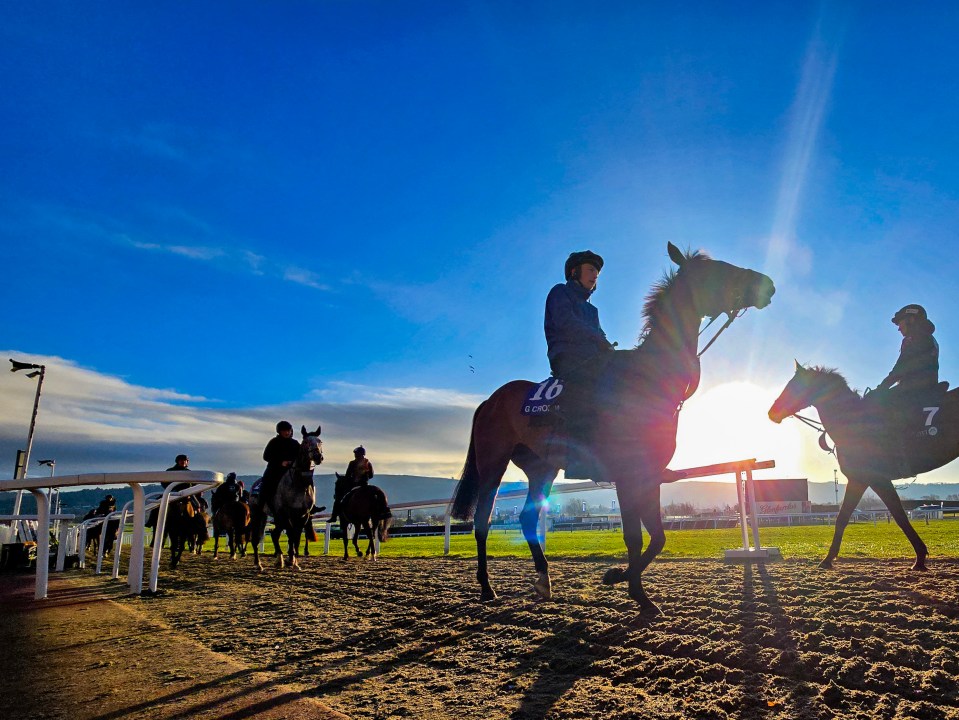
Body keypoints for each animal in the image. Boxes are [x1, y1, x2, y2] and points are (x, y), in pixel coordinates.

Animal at [249, 424, 324, 572]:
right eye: (306, 442)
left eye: (320, 442)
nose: (318, 456)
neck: (298, 485)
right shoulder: (286, 514)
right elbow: (291, 535)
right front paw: (291, 560)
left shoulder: (303, 516)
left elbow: (296, 538)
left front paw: (294, 562)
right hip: (258, 514)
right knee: (256, 538)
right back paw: (258, 564)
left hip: (276, 518)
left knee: (274, 534)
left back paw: (279, 560)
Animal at [448, 245, 772, 612]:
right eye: (714, 270)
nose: (768, 285)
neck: (646, 378)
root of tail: (489, 401)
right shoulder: (627, 474)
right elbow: (634, 536)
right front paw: (634, 590)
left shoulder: (649, 474)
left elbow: (657, 537)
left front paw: (624, 580)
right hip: (493, 463)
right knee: (482, 520)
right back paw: (487, 587)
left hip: (542, 468)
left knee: (527, 519)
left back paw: (544, 581)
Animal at [772, 362, 959, 572]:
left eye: (795, 385)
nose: (772, 412)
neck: (855, 424)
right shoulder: (858, 480)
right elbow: (843, 517)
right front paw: (828, 558)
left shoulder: (878, 479)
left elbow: (899, 516)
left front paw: (919, 557)